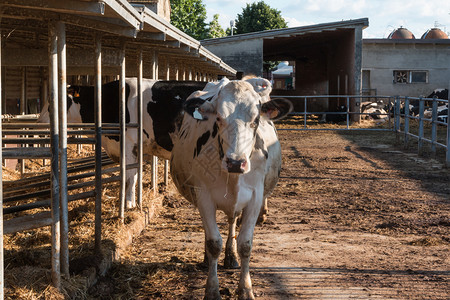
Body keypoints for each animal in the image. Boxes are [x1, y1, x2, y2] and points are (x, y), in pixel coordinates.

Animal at [38, 78, 207, 209]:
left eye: (56, 101)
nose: (39, 122)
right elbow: (134, 175)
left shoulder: (128, 144)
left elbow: (130, 177)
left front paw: (128, 205)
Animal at [170, 78, 292, 300]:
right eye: (218, 118)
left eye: (255, 119)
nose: (235, 162)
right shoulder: (204, 196)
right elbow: (213, 243)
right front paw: (212, 291)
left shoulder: (255, 197)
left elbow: (246, 244)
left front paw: (245, 290)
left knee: (232, 220)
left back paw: (231, 256)